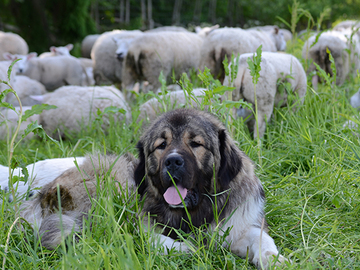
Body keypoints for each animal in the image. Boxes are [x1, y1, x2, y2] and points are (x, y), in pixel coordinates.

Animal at [19, 108, 284, 268]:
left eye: (195, 143)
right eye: (161, 145)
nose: (173, 161)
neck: (196, 212)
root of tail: (41, 195)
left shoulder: (242, 225)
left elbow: (262, 240)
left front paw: (275, 260)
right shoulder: (141, 224)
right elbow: (161, 242)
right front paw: (192, 248)